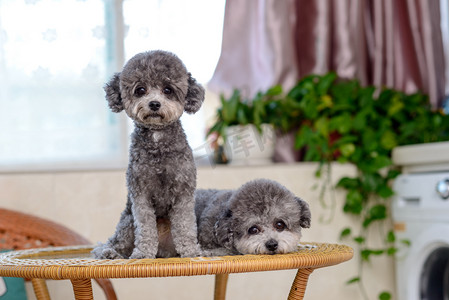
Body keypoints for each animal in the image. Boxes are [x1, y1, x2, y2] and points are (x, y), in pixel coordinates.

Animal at [93, 50, 205, 258]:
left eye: (168, 90)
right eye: (140, 90)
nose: (154, 104)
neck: (157, 141)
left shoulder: (183, 192)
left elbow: (185, 226)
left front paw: (191, 251)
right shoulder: (140, 193)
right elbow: (145, 228)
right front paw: (143, 254)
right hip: (127, 223)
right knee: (114, 242)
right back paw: (109, 253)